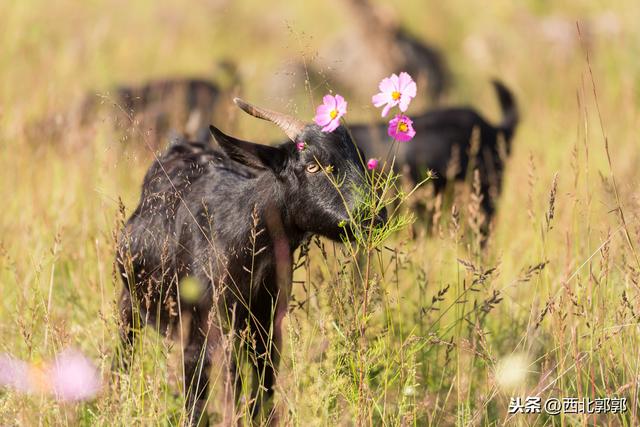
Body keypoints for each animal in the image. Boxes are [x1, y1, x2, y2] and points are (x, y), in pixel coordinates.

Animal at [115, 99, 380, 424]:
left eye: (361, 158)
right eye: (312, 165)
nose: (373, 214)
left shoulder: (267, 329)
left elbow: (263, 390)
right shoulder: (210, 330)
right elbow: (215, 393)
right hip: (131, 301)